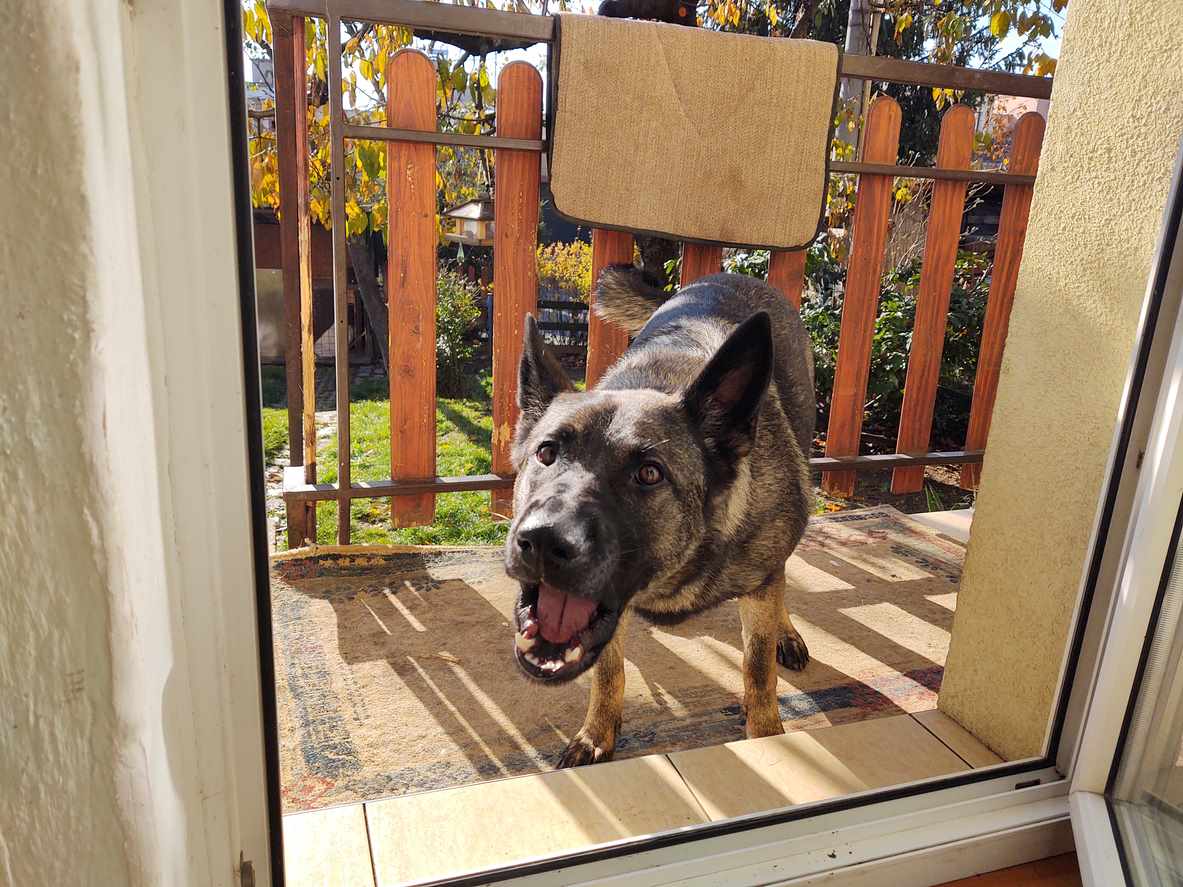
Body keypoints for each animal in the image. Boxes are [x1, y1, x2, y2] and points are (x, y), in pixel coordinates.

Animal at [503, 267, 818, 766]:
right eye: (546, 453)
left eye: (649, 474)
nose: (543, 541)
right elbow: (609, 672)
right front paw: (598, 734)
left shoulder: (760, 581)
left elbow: (757, 666)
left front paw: (767, 734)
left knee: (780, 579)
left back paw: (785, 631)